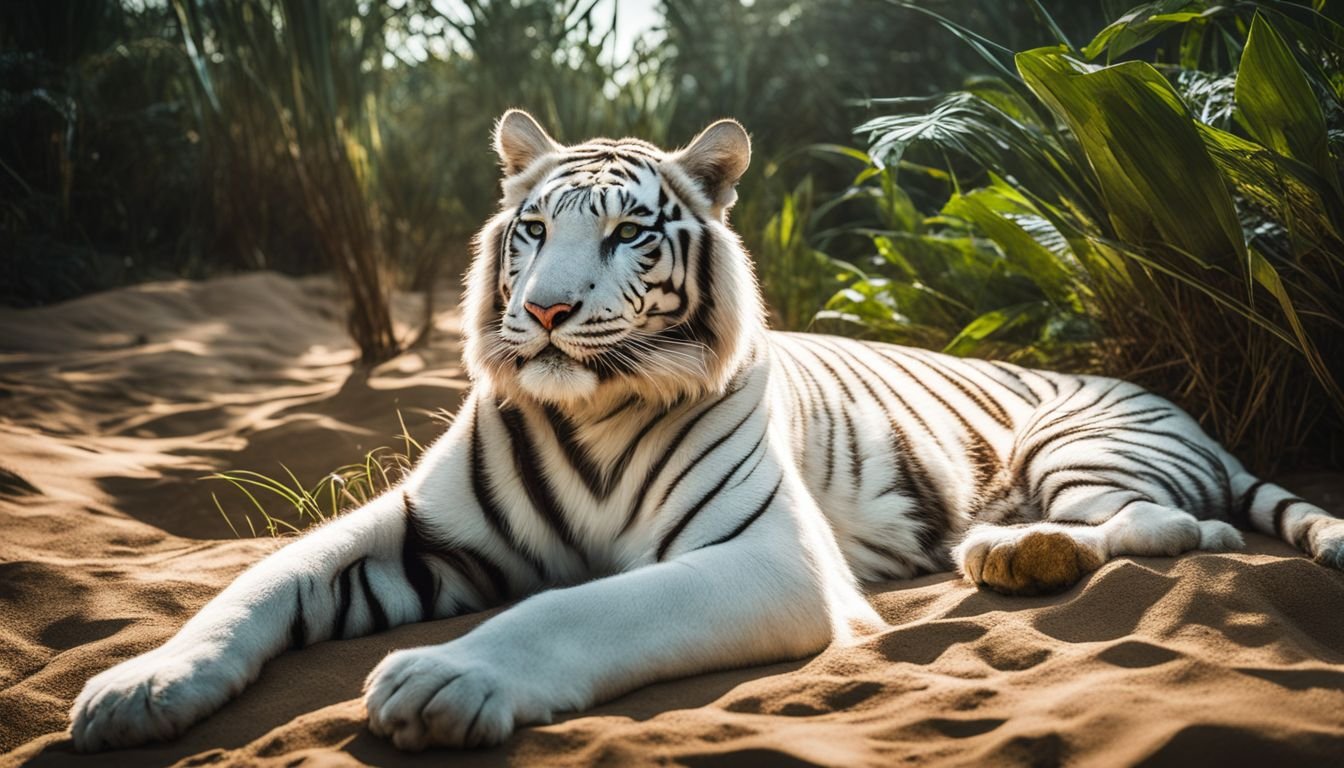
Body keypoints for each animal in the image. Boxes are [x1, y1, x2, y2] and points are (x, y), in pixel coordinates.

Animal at [70, 109, 1344, 753]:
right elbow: (266, 580)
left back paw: (1007, 550)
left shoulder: (772, 558)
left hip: (1078, 444)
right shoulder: (425, 530)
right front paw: (141, 686)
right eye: (533, 229)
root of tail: (1194, 418)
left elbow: (583, 604)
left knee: (1187, 533)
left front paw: (446, 678)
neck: (588, 408)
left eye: (629, 232)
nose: (545, 313)